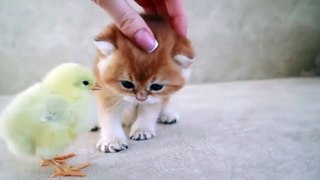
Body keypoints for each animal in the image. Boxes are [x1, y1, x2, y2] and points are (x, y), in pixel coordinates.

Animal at [91, 14, 194, 153]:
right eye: (127, 84)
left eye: (156, 86)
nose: (141, 98)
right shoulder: (107, 93)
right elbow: (109, 118)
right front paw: (111, 140)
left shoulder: (155, 98)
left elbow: (148, 111)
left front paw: (142, 129)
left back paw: (167, 114)